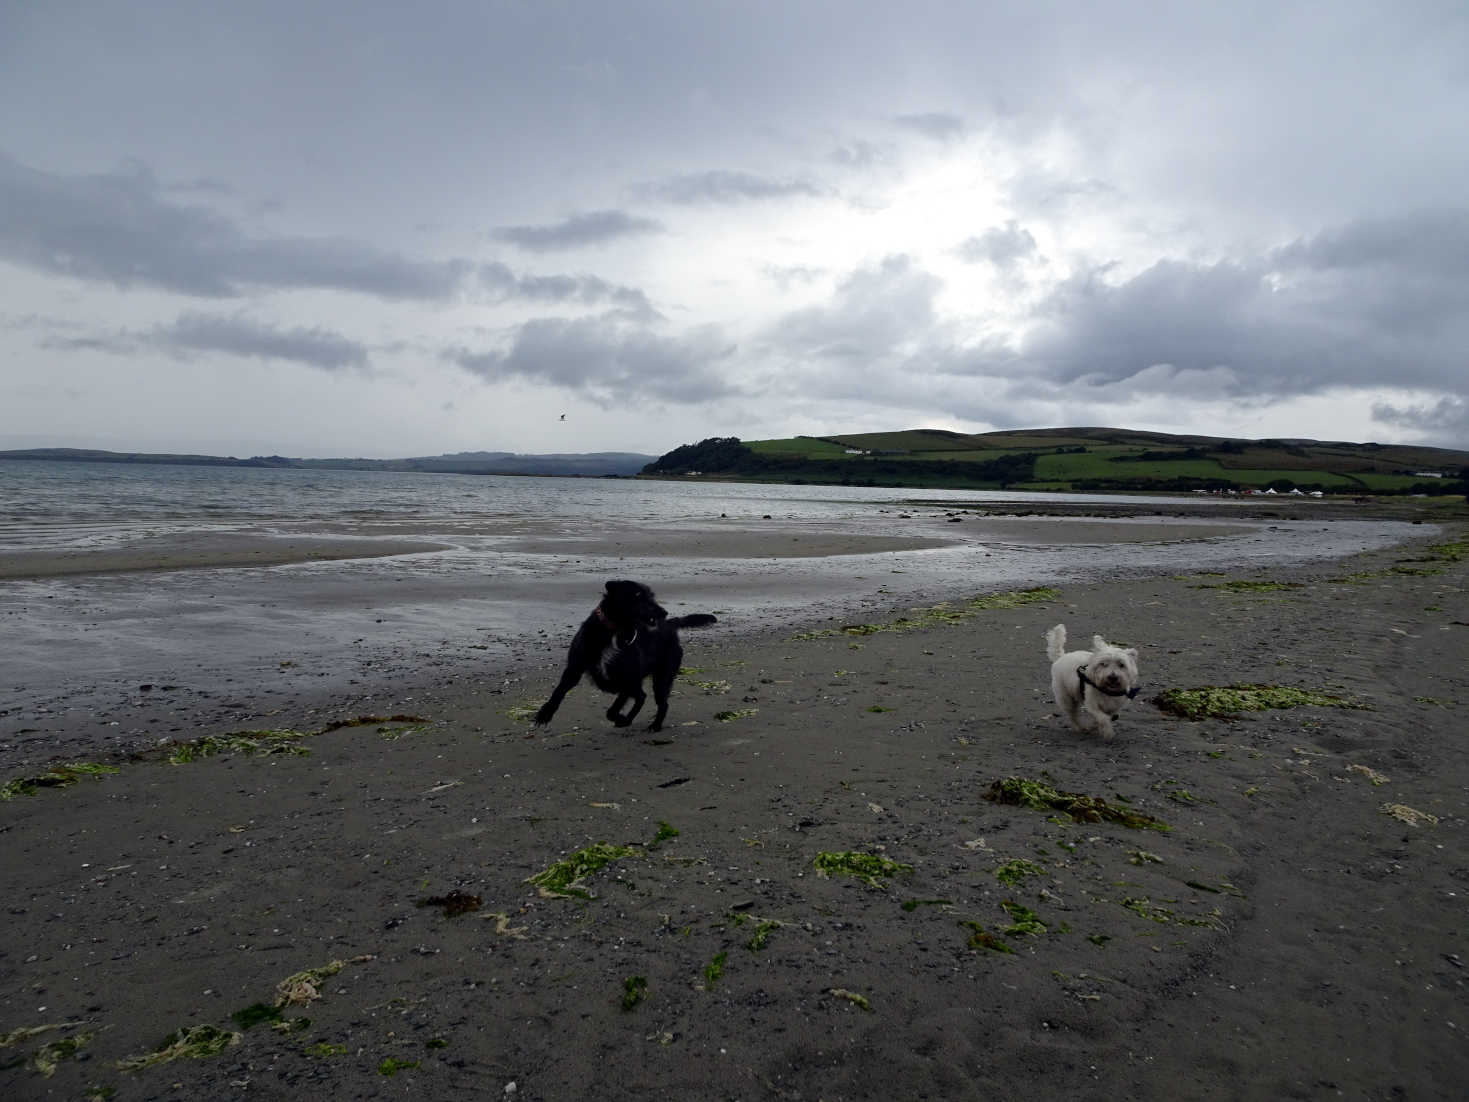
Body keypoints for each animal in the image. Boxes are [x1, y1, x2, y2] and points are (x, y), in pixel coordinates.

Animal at [537, 578, 719, 734]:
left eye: (651, 596)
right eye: (637, 595)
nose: (664, 612)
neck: (613, 631)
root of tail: (669, 625)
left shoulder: (629, 678)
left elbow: (612, 710)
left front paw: (621, 718)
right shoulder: (574, 668)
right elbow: (559, 691)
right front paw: (545, 713)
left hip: (662, 678)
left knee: (660, 703)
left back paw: (654, 725)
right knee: (642, 697)